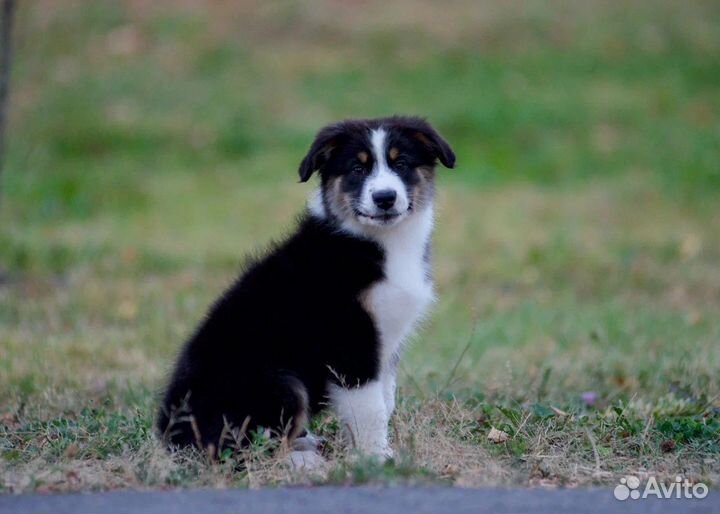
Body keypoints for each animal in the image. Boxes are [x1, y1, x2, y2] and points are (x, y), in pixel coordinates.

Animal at [158, 115, 456, 456]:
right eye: (357, 168)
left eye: (402, 163)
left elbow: (386, 399)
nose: (384, 198)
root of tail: (168, 436)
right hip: (282, 383)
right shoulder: (351, 342)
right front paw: (376, 458)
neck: (378, 242)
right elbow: (370, 409)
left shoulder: (386, 346)